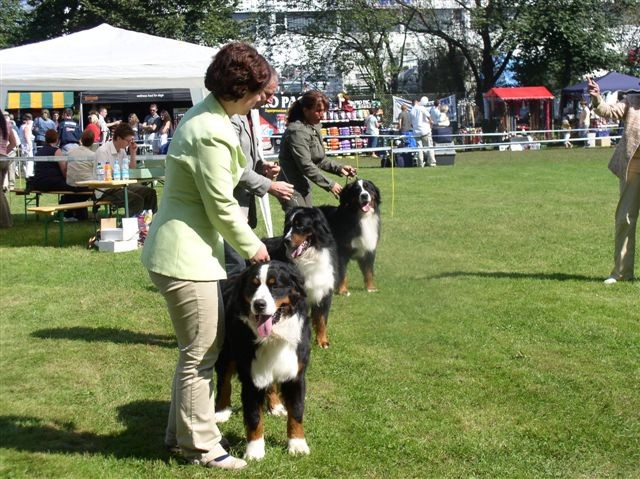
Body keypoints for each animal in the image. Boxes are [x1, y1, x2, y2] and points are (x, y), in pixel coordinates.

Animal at [214, 262, 312, 462]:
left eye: (275, 286)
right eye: (253, 285)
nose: (259, 304)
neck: (275, 336)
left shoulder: (296, 375)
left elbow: (297, 412)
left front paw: (297, 444)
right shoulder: (251, 378)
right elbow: (254, 417)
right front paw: (255, 450)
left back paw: (276, 406)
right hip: (225, 351)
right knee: (224, 382)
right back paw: (222, 411)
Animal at [262, 206, 338, 348]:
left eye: (300, 226)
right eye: (287, 226)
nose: (286, 240)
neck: (308, 258)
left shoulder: (324, 292)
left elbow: (322, 320)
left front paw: (322, 341)